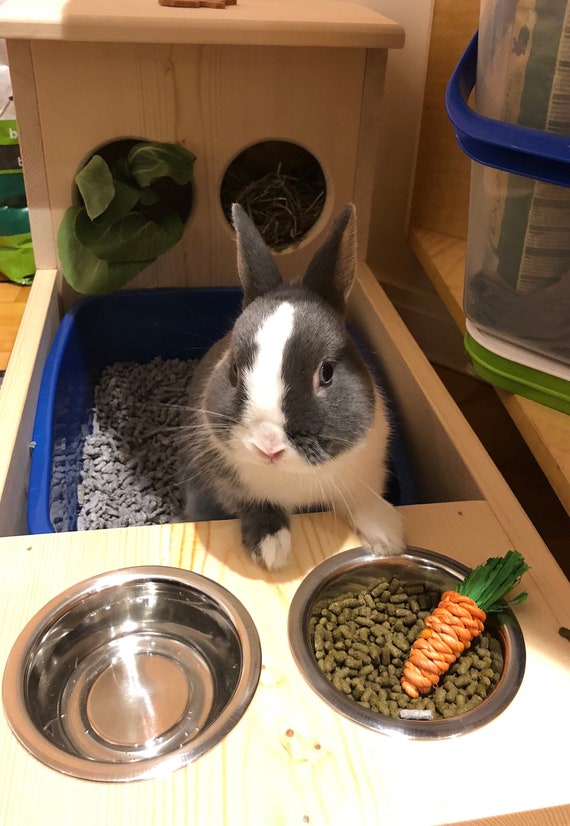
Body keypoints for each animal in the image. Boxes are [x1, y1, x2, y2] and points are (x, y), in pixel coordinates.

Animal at [180, 203, 402, 568]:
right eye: (233, 372)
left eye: (326, 372)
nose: (268, 447)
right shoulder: (227, 486)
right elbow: (255, 505)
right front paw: (271, 550)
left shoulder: (366, 473)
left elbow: (362, 500)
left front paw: (389, 537)